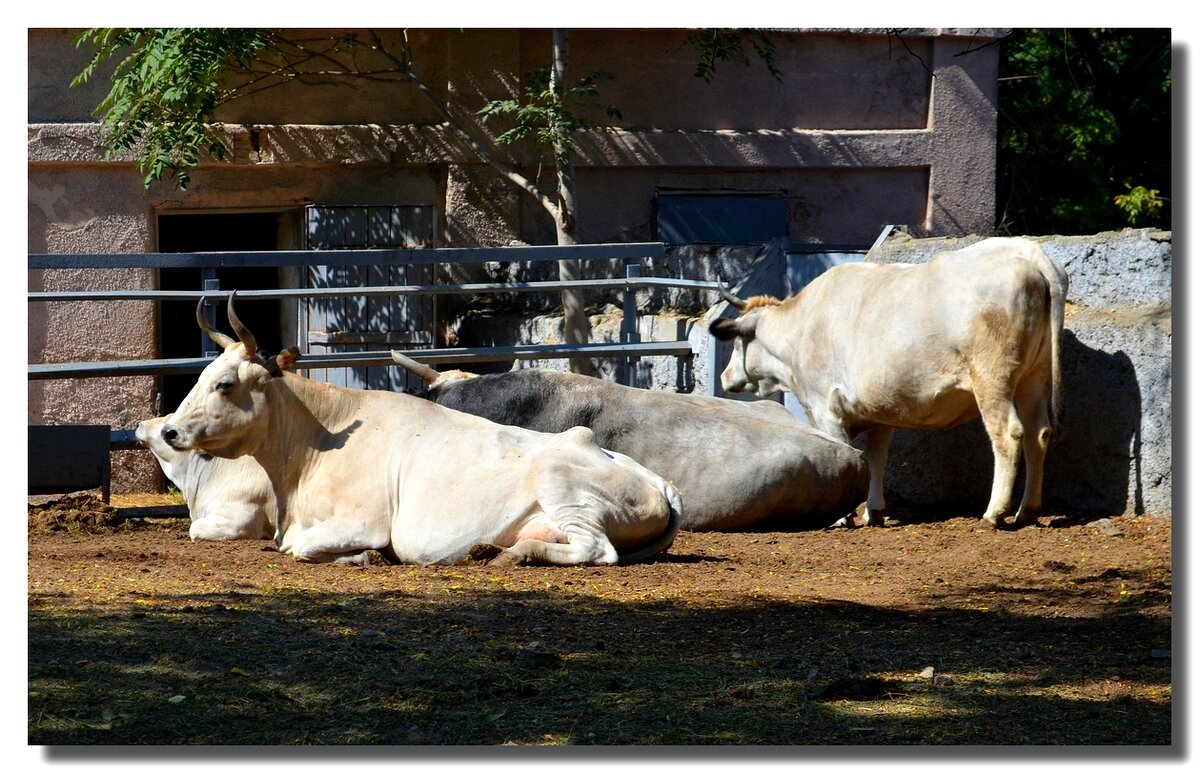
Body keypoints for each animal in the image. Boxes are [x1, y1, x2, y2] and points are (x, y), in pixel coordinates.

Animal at [705, 235, 1065, 528]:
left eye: (736, 343)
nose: (724, 376)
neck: (799, 329)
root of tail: (1030, 252)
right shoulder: (879, 410)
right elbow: (876, 459)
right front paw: (873, 511)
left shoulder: (825, 408)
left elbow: (846, 455)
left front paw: (841, 517)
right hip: (1035, 376)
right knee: (1039, 434)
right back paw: (1027, 511)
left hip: (992, 378)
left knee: (1009, 434)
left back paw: (995, 512)